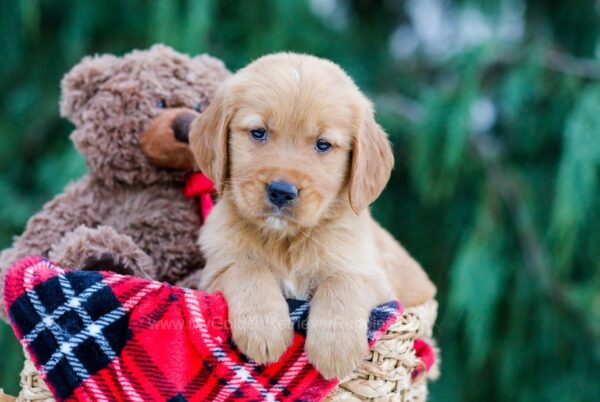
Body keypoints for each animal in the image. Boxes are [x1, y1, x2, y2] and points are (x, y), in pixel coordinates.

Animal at [191, 53, 436, 380]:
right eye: (258, 132)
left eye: (323, 144)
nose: (281, 192)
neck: (285, 239)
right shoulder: (213, 273)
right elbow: (248, 268)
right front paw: (265, 330)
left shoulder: (378, 283)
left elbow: (342, 281)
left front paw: (335, 348)